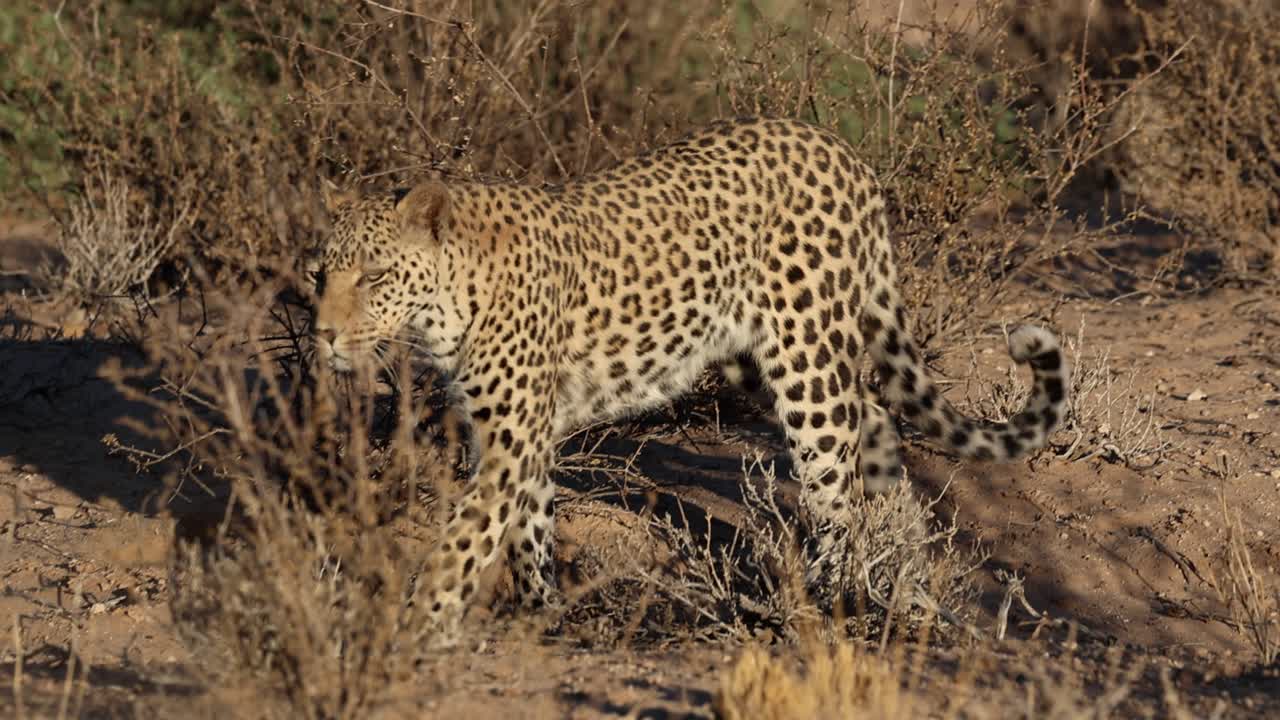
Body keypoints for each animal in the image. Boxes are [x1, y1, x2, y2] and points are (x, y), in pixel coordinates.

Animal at [307, 117, 1069, 645]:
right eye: (319, 274)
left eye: (373, 277)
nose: (323, 334)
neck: (447, 304)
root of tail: (837, 148)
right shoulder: (509, 434)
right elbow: (525, 525)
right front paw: (539, 608)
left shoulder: (512, 438)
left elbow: (466, 536)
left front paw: (415, 624)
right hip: (752, 360)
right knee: (875, 434)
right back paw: (904, 585)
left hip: (806, 360)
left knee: (835, 479)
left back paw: (832, 599)